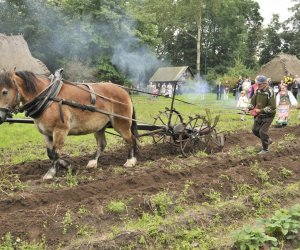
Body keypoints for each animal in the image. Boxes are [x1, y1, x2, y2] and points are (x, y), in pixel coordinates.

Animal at [0, 70, 138, 180]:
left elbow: (55, 153)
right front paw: (68, 166)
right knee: (102, 144)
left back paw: (130, 161)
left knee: (130, 139)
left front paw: (51, 173)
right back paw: (93, 162)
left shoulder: (60, 130)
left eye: (4, 92)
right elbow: (50, 153)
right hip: (100, 127)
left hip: (121, 123)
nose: (0, 116)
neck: (48, 98)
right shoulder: (46, 133)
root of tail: (123, 90)